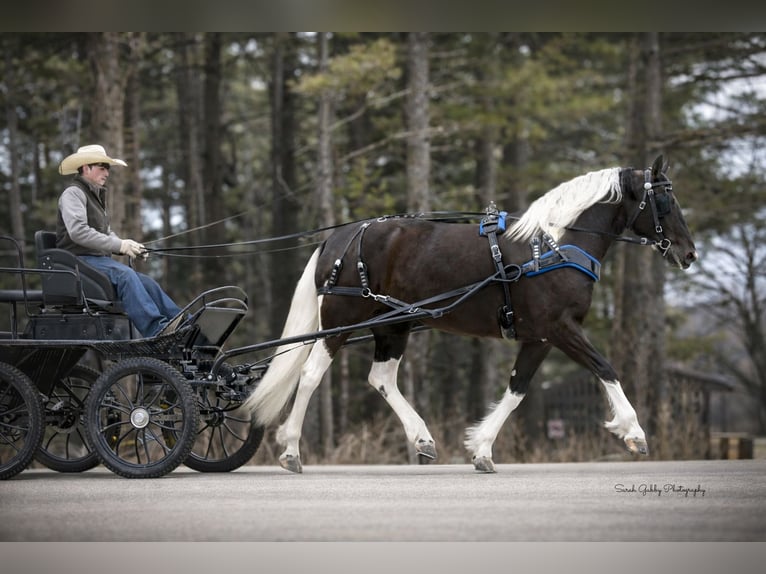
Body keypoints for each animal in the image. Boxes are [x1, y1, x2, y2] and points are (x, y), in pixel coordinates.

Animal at [244, 154, 698, 473]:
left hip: (393, 324)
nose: (689, 253)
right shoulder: (561, 328)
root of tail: (339, 238)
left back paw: (422, 439)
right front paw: (633, 431)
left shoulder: (539, 336)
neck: (553, 246)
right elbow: (605, 367)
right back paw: (290, 449)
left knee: (381, 378)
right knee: (310, 375)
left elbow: (517, 389)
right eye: (665, 198)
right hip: (342, 319)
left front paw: (481, 449)